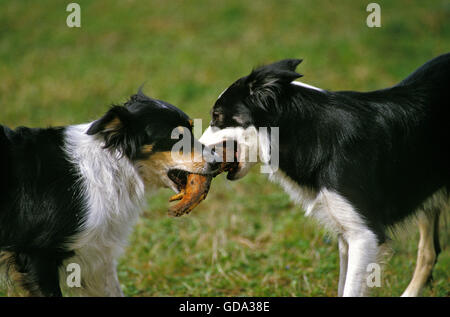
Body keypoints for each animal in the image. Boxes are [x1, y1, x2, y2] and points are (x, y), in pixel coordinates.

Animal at [0, 90, 218, 296]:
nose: (218, 161)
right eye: (177, 138)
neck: (115, 165)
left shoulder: (95, 253)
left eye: (191, 130)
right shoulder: (37, 253)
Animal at [201, 53, 450, 296]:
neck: (308, 134)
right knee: (429, 252)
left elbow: (349, 289)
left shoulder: (365, 235)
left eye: (217, 116)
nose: (196, 151)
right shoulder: (345, 232)